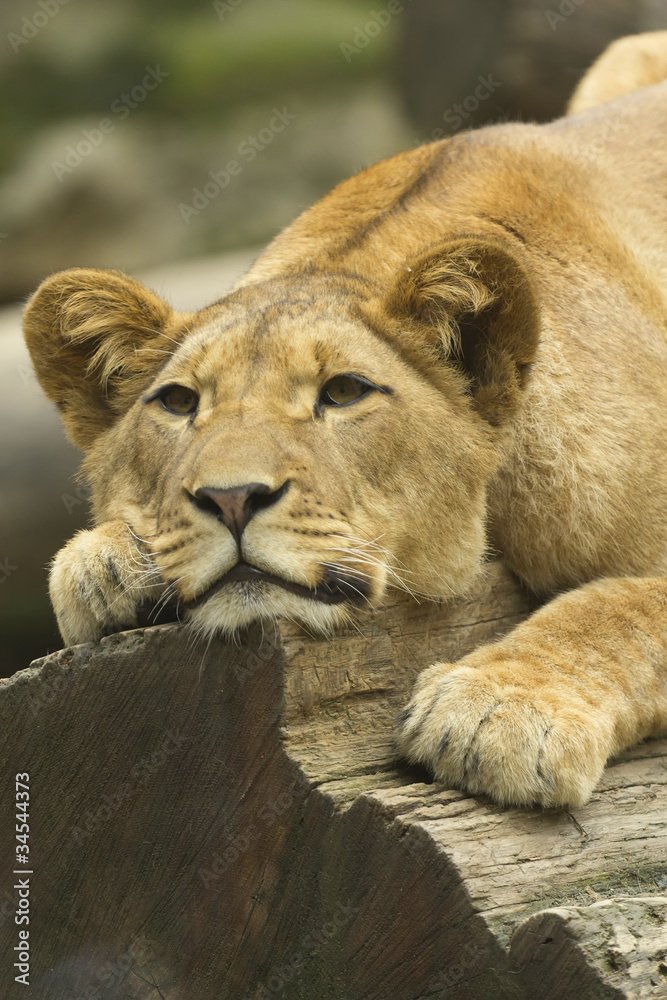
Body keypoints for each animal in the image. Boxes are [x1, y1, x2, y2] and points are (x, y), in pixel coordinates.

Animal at [23, 32, 667, 808]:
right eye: (179, 403)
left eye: (344, 392)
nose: (231, 499)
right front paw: (107, 561)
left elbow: (619, 608)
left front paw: (500, 711)